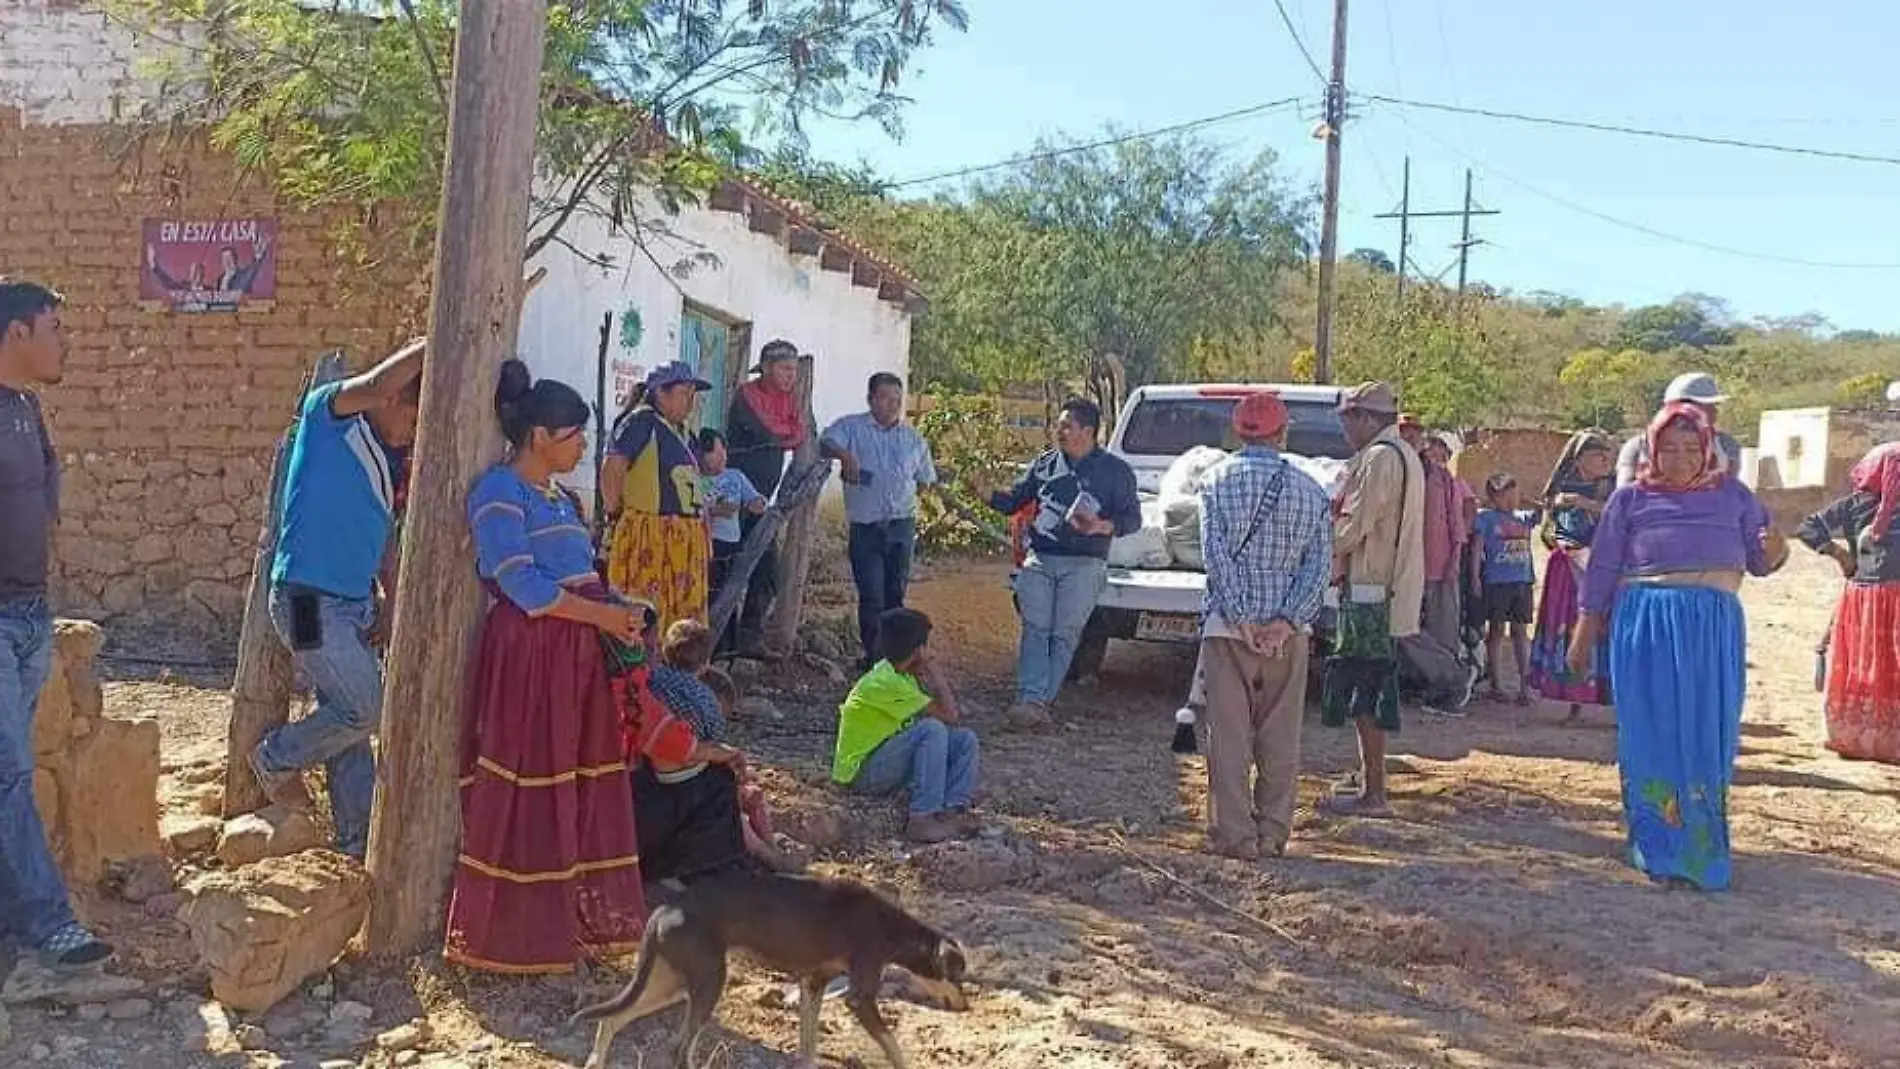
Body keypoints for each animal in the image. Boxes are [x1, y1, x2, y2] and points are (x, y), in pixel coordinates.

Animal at [566, 873, 965, 1063]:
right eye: (958, 975)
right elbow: (894, 1047)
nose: (966, 1007)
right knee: (678, 1051)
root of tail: (667, 907)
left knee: (610, 1020)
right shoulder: (859, 998)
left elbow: (808, 1046)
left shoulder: (813, 983)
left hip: (672, 985)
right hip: (708, 984)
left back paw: (595, 1062)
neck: (887, 924)